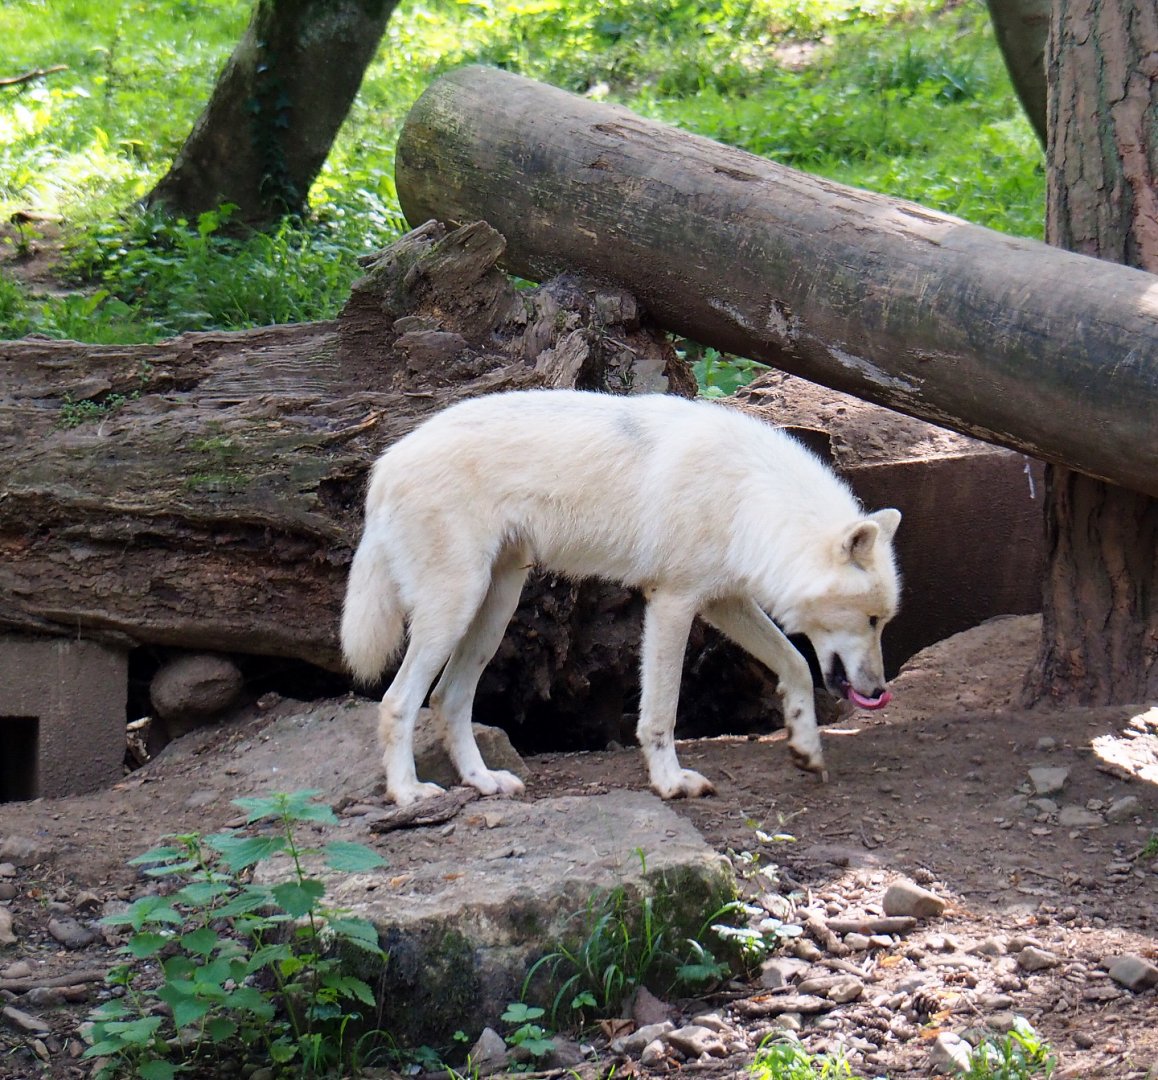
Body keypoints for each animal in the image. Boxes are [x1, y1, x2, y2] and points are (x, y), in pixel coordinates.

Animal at [341, 389, 901, 806]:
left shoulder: (724, 601)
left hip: (493, 612)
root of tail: (386, 464)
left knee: (448, 698)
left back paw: (483, 781)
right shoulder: (674, 602)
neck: (749, 496)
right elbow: (661, 712)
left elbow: (796, 665)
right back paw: (408, 793)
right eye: (873, 619)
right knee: (397, 701)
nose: (878, 690)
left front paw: (806, 748)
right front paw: (671, 782)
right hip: (455, 609)